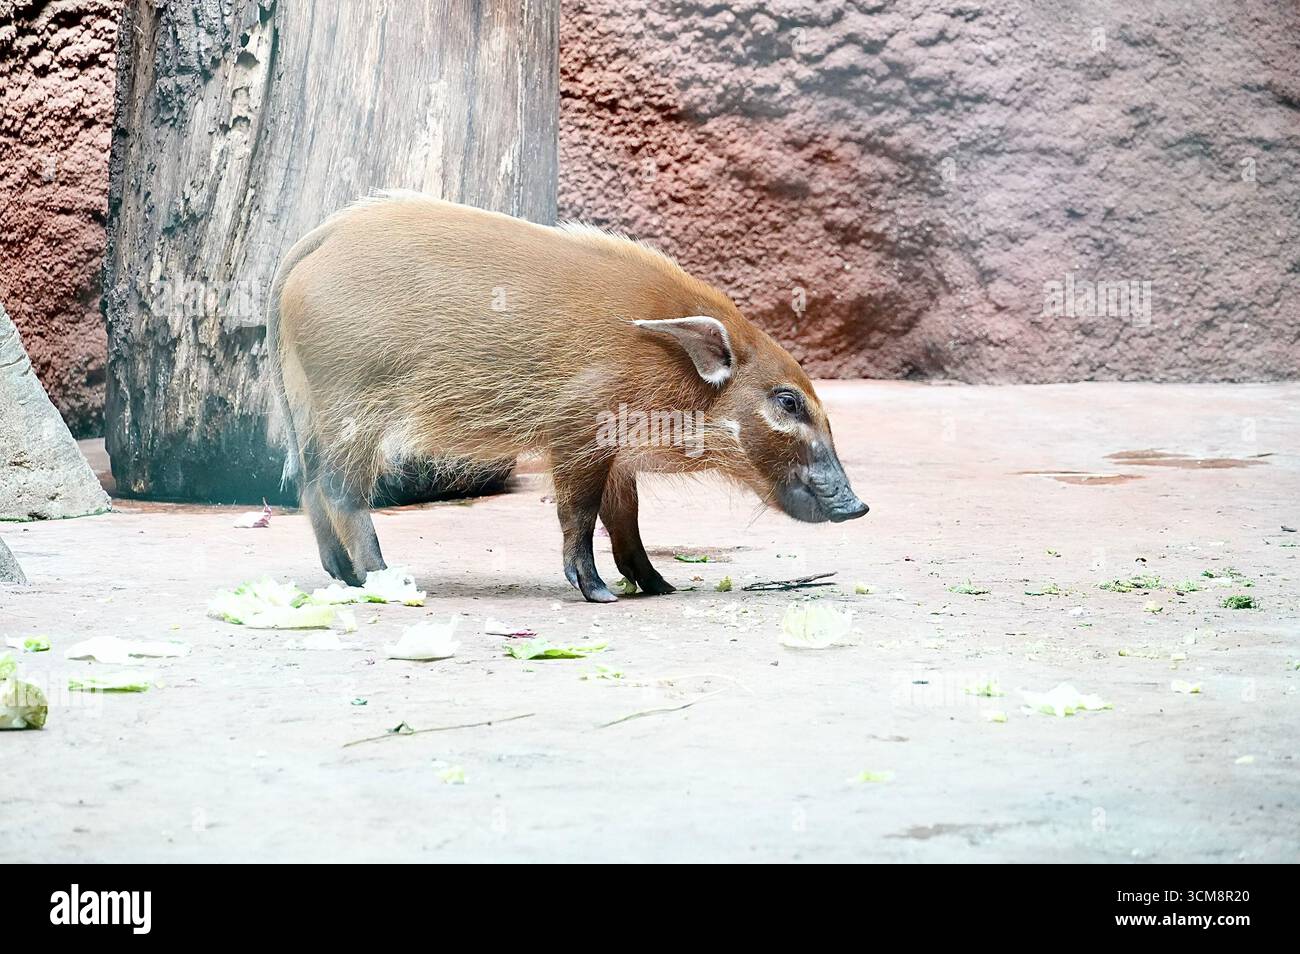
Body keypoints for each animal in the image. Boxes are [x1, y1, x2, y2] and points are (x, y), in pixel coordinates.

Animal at [267, 192, 868, 603]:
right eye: (787, 402)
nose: (858, 506)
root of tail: (309, 246)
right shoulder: (579, 433)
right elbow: (578, 513)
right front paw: (599, 593)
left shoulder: (618, 455)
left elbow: (626, 520)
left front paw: (661, 586)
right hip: (350, 406)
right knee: (339, 491)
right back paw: (384, 579)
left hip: (312, 409)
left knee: (308, 485)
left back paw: (344, 576)